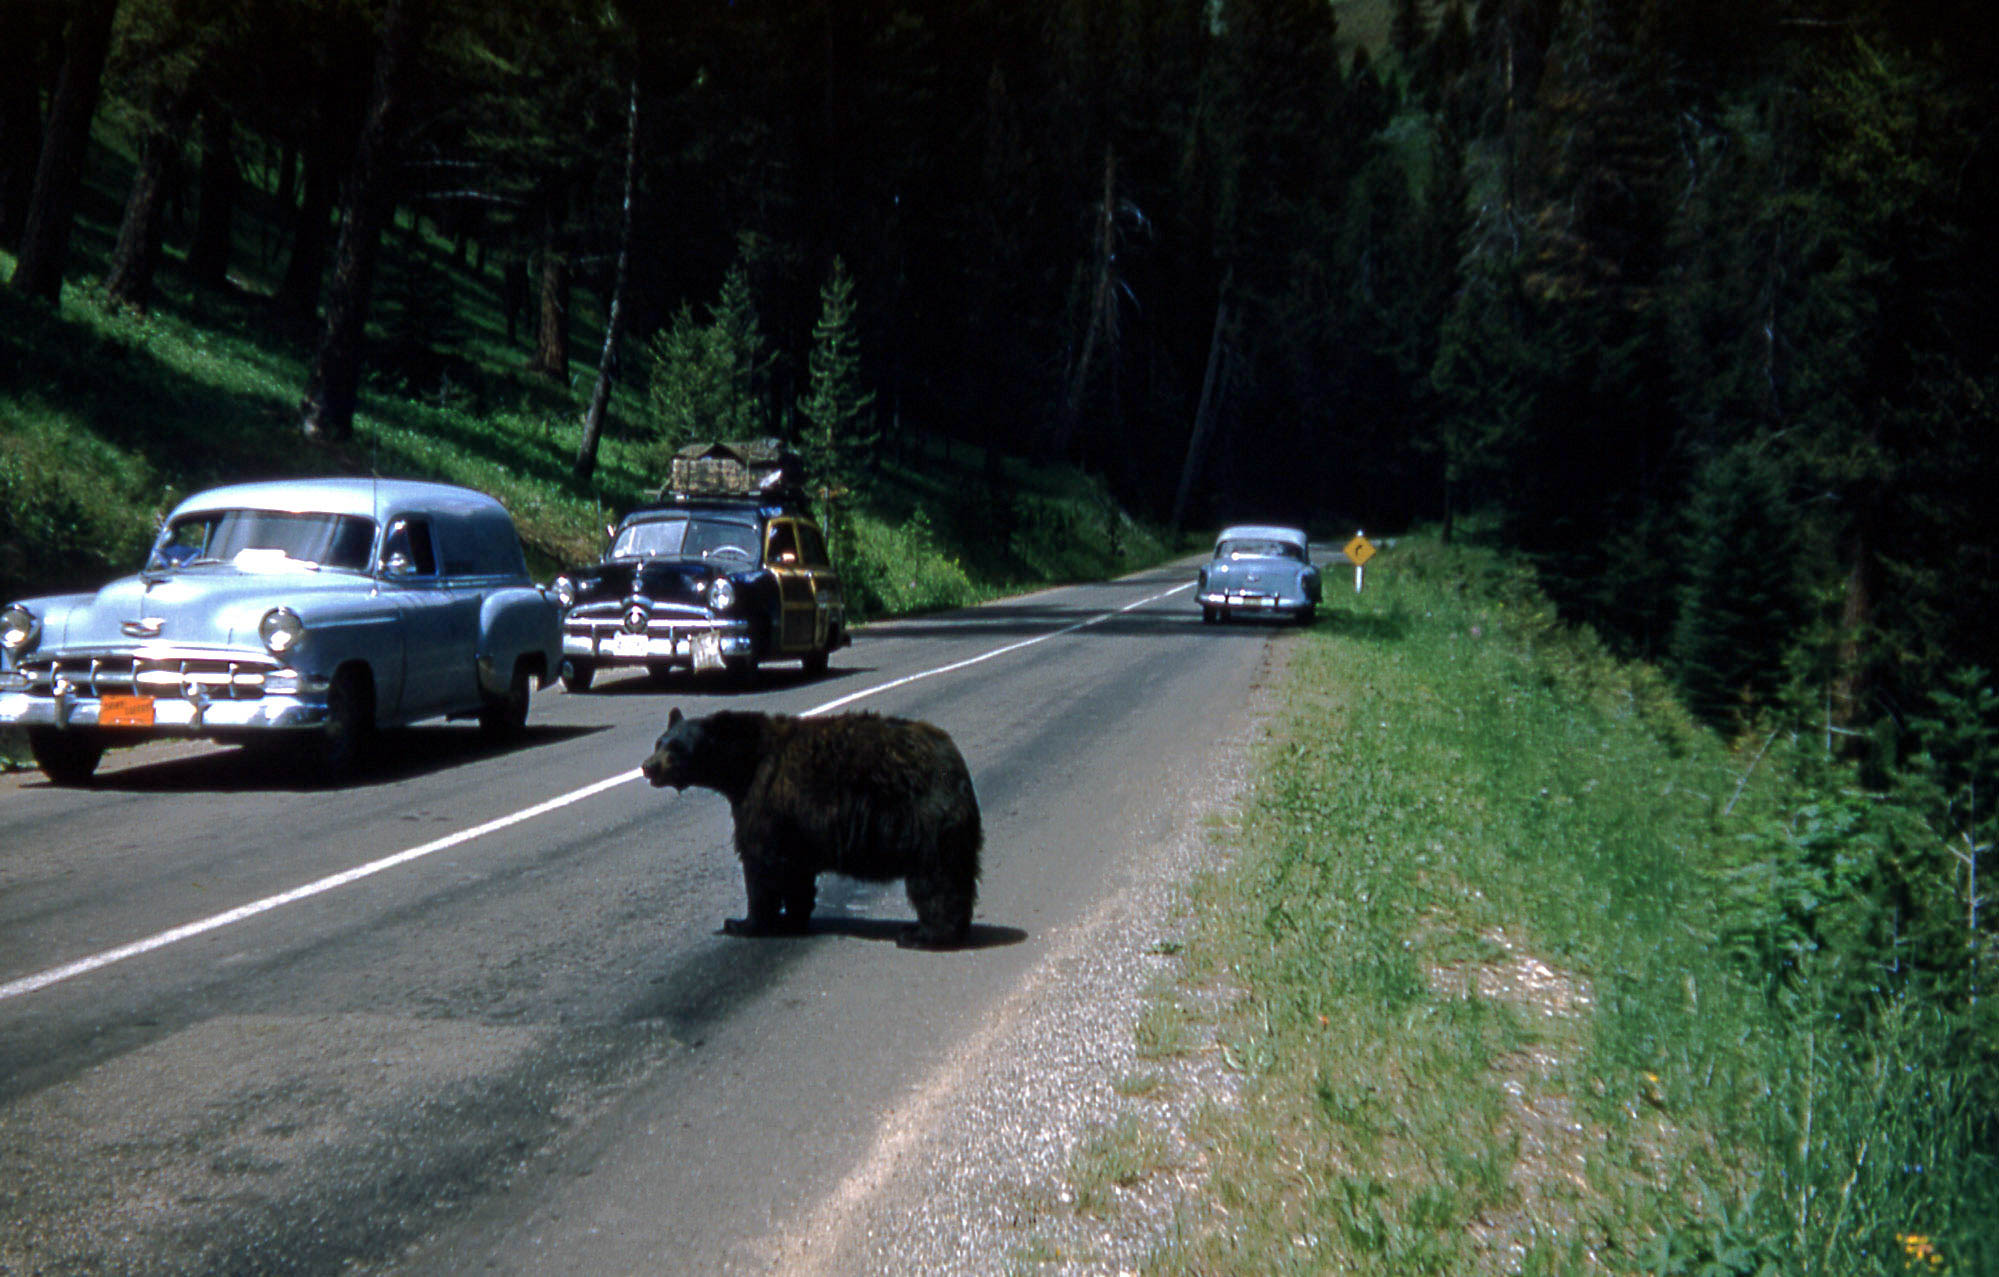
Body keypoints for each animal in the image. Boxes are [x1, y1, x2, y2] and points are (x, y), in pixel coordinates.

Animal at [642, 707, 983, 949]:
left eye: (677, 748)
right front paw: (793, 918)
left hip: (923, 820)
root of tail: (955, 764)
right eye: (659, 742)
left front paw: (744, 923)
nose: (648, 766)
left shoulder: (764, 797)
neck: (744, 763)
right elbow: (795, 872)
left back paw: (921, 934)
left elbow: (761, 863)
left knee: (934, 879)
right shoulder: (794, 827)